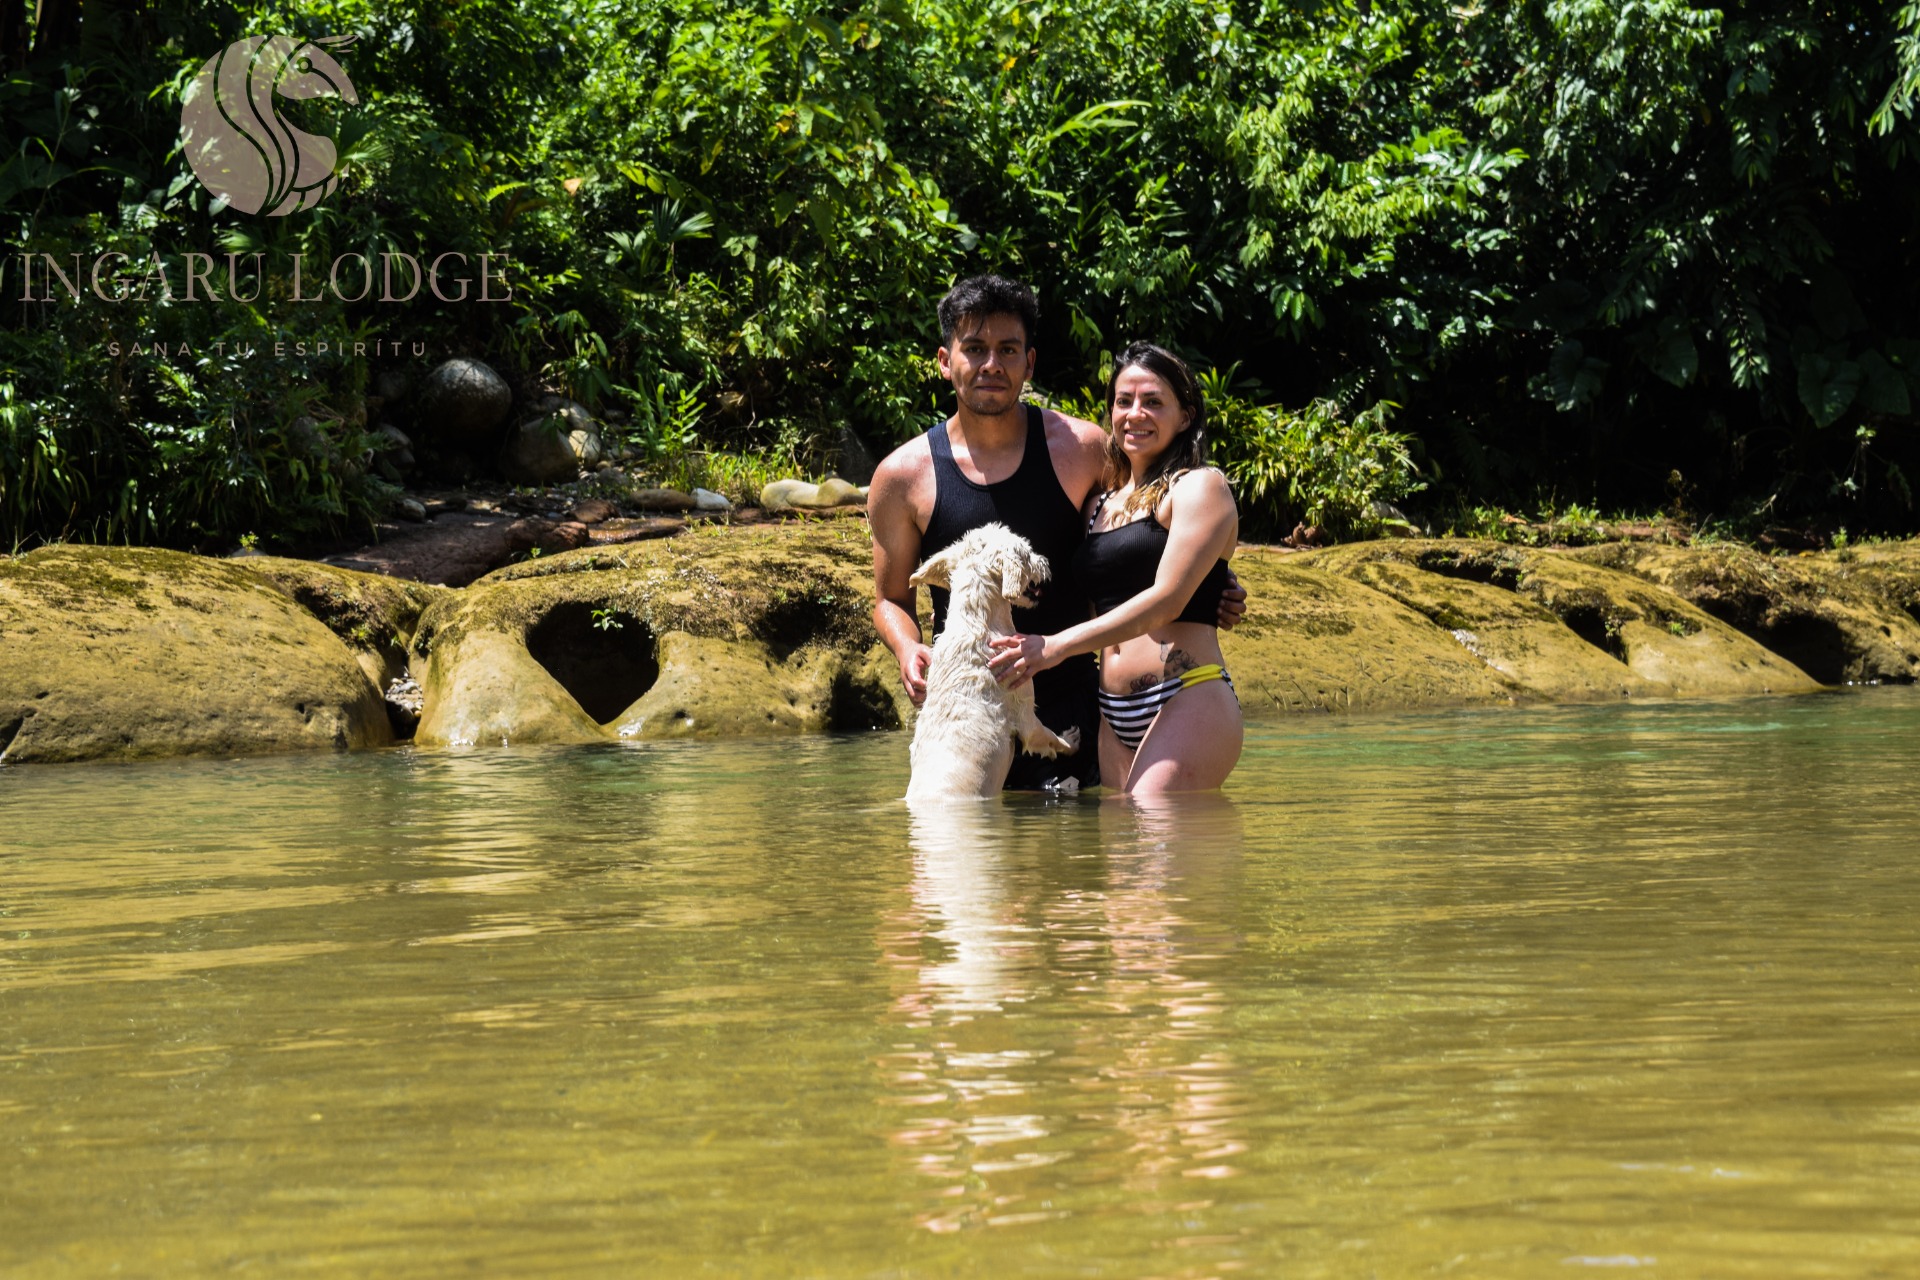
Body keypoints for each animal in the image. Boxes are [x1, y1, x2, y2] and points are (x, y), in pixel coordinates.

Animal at [905, 523, 1081, 802]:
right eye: (1027, 553)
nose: (1045, 561)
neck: (976, 622)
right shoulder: (1025, 711)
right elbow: (1047, 737)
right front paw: (1070, 742)